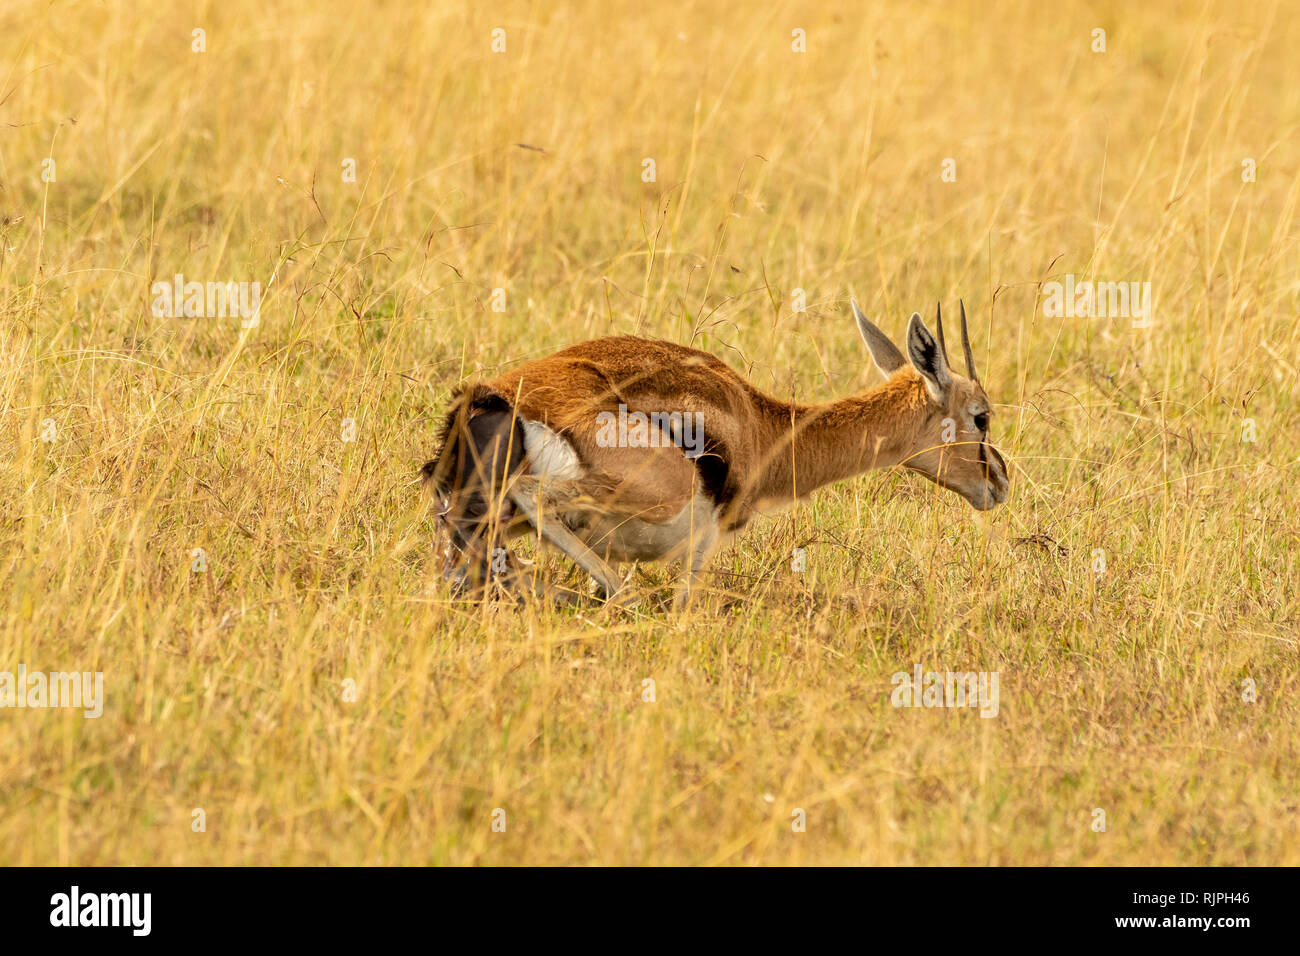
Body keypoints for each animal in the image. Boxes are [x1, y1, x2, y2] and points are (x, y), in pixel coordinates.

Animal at [422, 301, 1010, 607]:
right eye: (981, 416)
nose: (999, 482)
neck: (763, 426)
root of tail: (495, 396)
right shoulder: (701, 542)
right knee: (534, 507)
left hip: (480, 520)